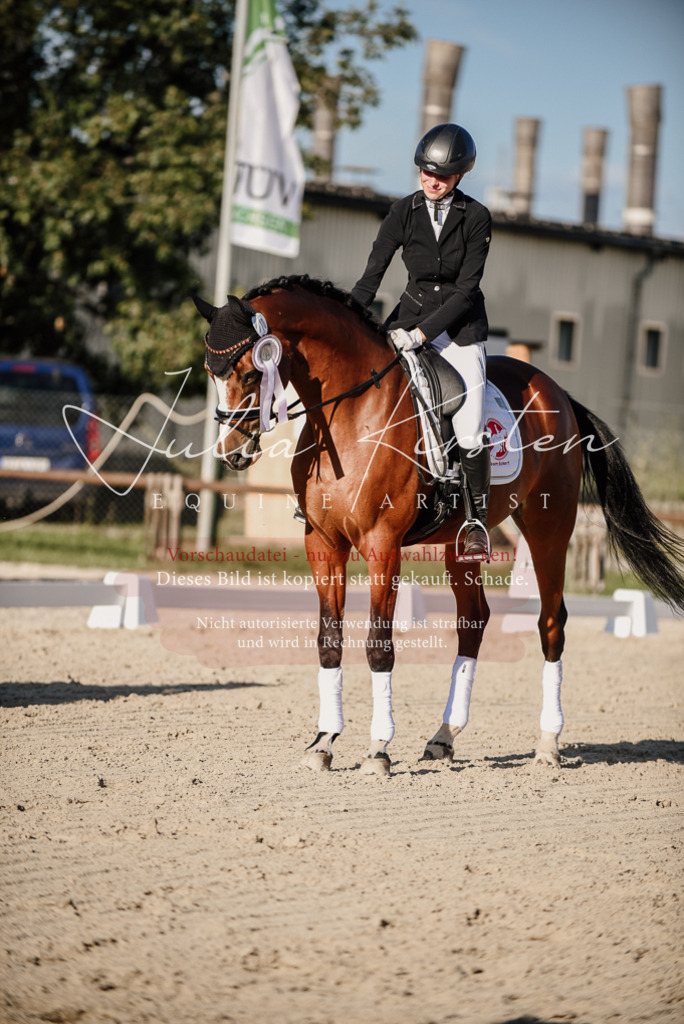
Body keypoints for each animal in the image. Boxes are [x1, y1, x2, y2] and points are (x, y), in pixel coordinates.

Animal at [194, 274, 684, 776]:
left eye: (251, 373)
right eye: (211, 373)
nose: (232, 453)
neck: (351, 413)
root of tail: (559, 395)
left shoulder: (382, 546)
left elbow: (379, 646)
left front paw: (378, 750)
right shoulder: (324, 544)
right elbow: (329, 641)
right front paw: (323, 743)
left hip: (549, 527)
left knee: (551, 621)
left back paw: (547, 744)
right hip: (462, 542)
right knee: (474, 621)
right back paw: (444, 737)